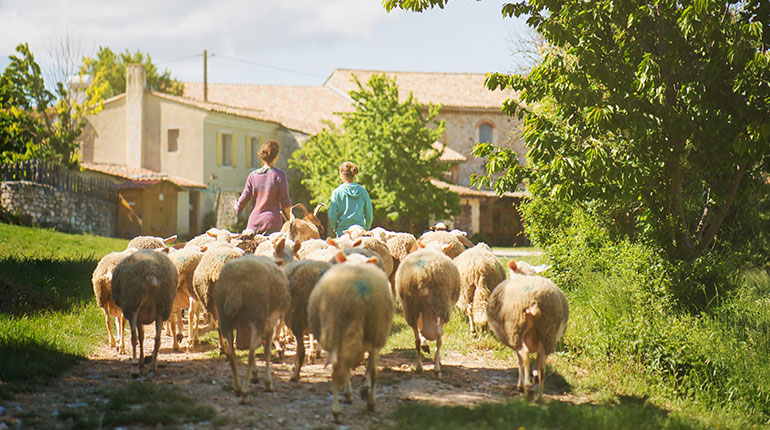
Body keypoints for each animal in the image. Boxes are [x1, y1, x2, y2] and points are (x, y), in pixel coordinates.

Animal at [213, 254, 288, 402]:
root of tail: (235, 286)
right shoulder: (270, 323)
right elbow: (266, 351)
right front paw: (267, 383)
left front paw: (256, 374)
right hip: (256, 315)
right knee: (250, 354)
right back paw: (245, 393)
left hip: (226, 320)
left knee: (232, 355)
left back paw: (237, 388)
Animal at [306, 252, 392, 424]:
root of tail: (357, 295)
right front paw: (364, 393)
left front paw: (352, 393)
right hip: (374, 330)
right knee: (370, 370)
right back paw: (367, 403)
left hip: (336, 330)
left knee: (338, 369)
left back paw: (337, 410)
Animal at [392, 245, 460, 376]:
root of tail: (422, 273)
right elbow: (439, 335)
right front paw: (437, 358)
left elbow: (421, 331)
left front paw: (425, 345)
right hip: (442, 305)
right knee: (439, 338)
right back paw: (437, 368)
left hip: (411, 308)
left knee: (417, 340)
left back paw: (419, 366)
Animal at [488, 258, 568, 400]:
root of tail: (534, 301)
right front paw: (533, 376)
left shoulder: (513, 339)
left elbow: (519, 361)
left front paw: (520, 385)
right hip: (548, 333)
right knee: (542, 367)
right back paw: (539, 396)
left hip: (516, 329)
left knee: (525, 356)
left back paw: (528, 387)